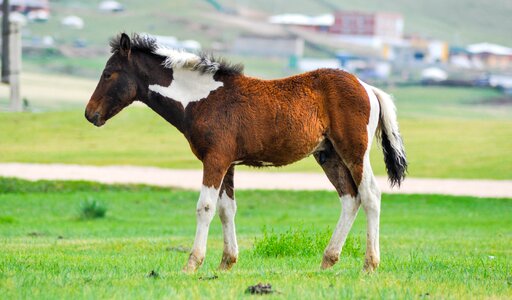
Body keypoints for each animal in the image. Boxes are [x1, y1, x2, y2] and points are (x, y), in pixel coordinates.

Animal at [86, 32, 410, 272]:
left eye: (109, 73)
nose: (90, 114)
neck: (201, 100)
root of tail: (368, 87)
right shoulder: (227, 163)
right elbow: (226, 209)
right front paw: (226, 263)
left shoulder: (214, 160)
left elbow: (205, 207)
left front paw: (192, 264)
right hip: (327, 155)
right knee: (350, 198)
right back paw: (328, 261)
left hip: (354, 151)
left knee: (370, 195)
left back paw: (369, 264)